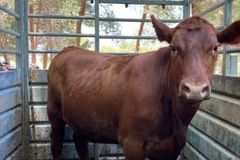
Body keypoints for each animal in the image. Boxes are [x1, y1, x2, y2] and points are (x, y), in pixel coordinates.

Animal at [47, 15, 240, 160]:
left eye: (215, 48)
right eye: (173, 48)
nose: (194, 89)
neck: (175, 118)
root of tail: (69, 49)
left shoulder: (172, 147)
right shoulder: (132, 142)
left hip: (84, 117)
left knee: (80, 140)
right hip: (54, 112)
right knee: (56, 146)